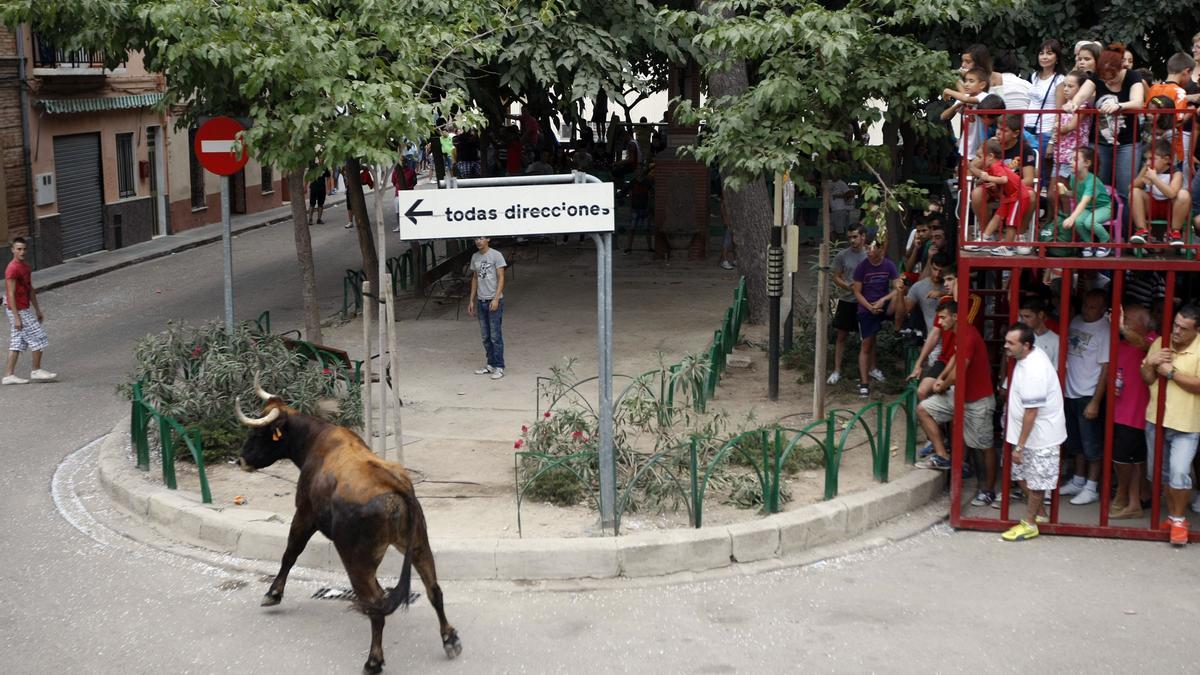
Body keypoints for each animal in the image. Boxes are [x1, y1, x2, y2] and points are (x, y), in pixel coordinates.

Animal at [236, 381, 460, 667]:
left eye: (258, 433)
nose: (241, 460)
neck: (315, 442)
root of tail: (394, 485)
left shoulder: (304, 515)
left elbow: (290, 553)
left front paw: (273, 593)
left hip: (356, 558)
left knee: (376, 603)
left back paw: (374, 660)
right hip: (419, 544)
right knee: (433, 590)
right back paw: (449, 639)